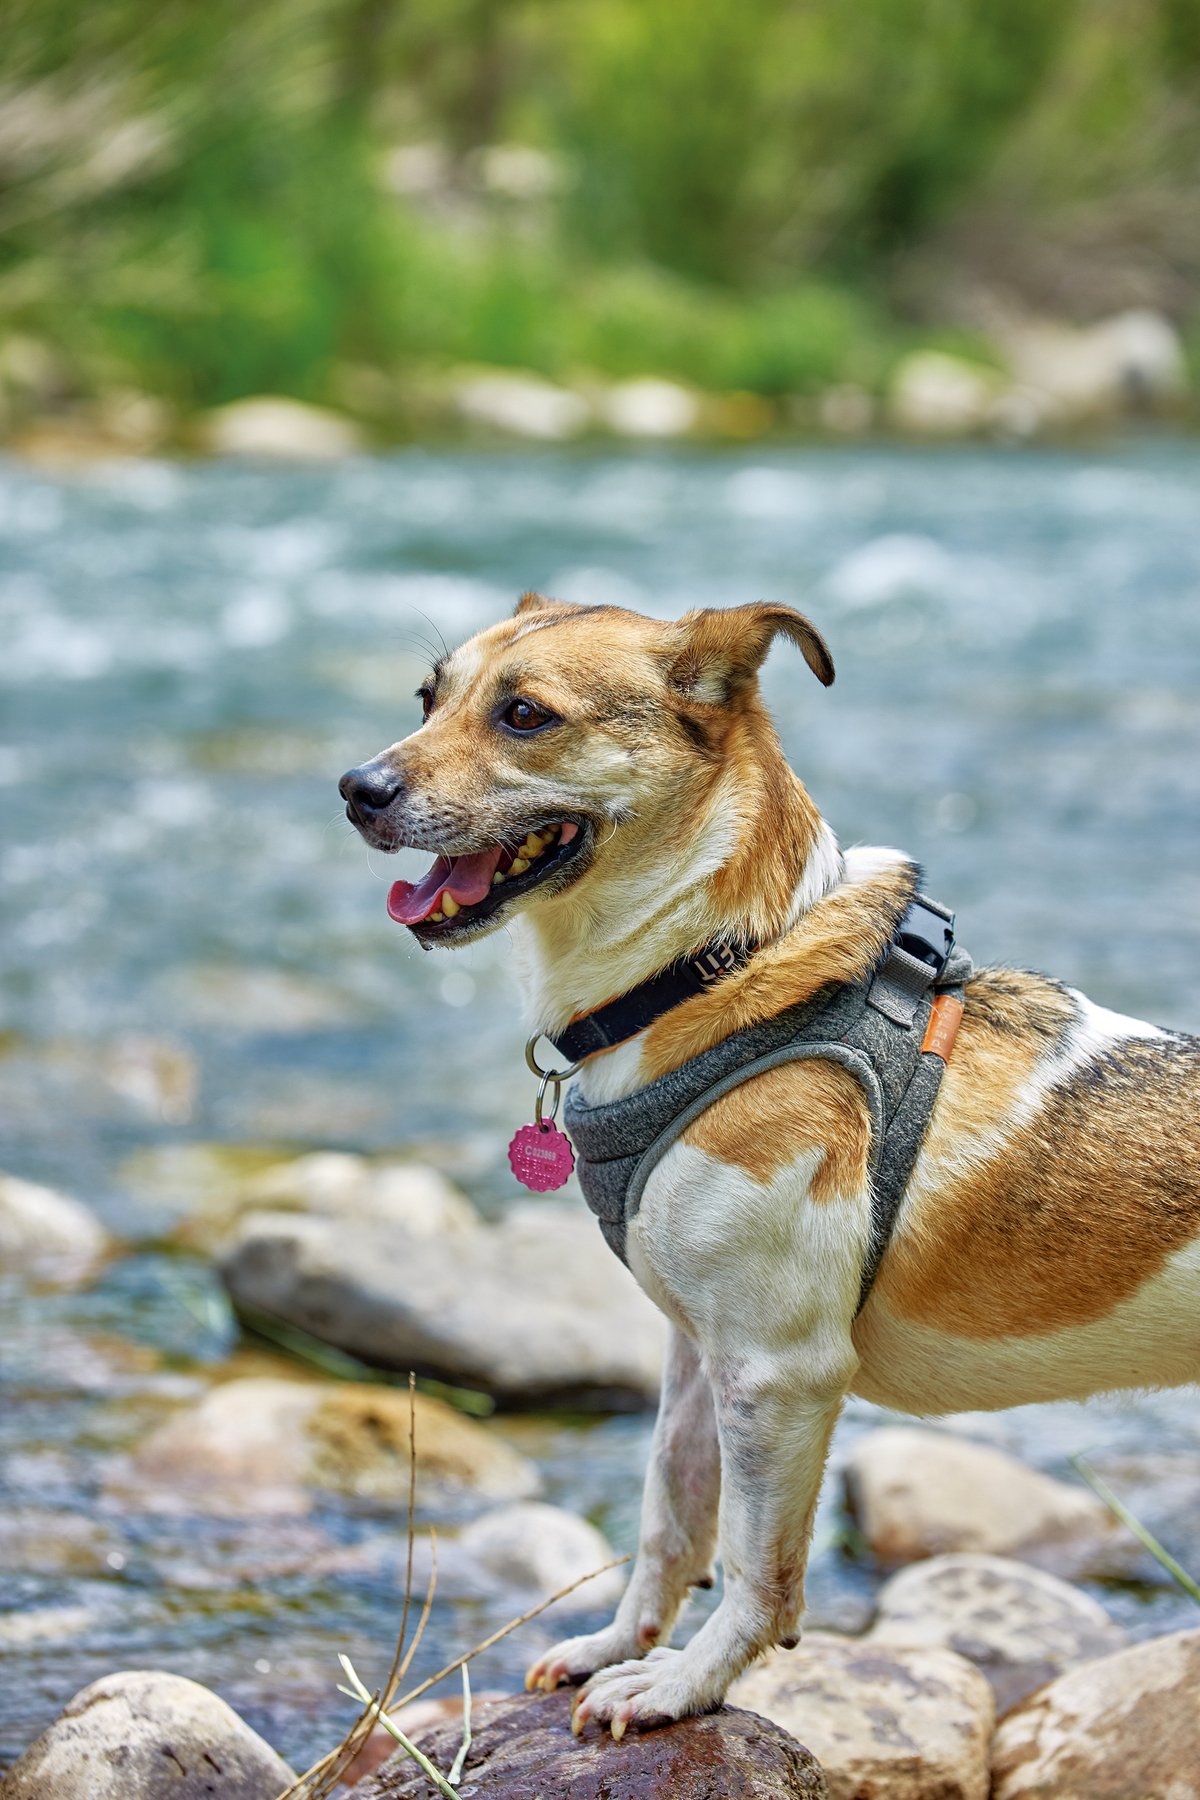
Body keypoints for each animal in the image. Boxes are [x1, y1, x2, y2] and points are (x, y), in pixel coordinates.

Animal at [338, 594, 1200, 1742]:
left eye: (525, 714)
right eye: (428, 698)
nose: (356, 790)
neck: (714, 969)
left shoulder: (780, 1374)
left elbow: (758, 1570)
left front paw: (682, 1686)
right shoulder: (699, 1353)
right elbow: (670, 1515)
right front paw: (619, 1645)